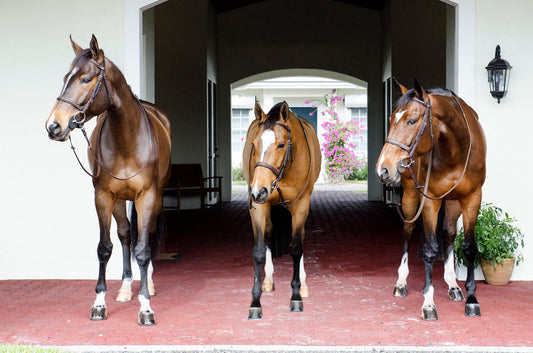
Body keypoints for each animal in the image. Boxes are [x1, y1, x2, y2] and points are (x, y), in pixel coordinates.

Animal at [46, 35, 171, 324]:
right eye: (65, 78)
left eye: (85, 78)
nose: (53, 126)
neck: (127, 139)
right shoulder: (103, 196)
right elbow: (105, 247)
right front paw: (99, 303)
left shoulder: (147, 196)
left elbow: (143, 249)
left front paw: (145, 307)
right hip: (119, 200)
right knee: (125, 234)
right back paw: (125, 288)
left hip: (154, 197)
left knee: (147, 236)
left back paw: (149, 284)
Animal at [242, 101, 320, 320]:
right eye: (254, 145)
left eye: (281, 145)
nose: (259, 190)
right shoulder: (259, 206)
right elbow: (259, 250)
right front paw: (255, 302)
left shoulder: (301, 206)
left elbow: (296, 248)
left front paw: (296, 296)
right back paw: (268, 279)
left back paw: (303, 284)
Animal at [374, 79, 486, 320]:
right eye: (391, 119)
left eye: (411, 120)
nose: (383, 169)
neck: (456, 150)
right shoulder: (430, 199)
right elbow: (430, 249)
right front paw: (428, 303)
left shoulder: (472, 197)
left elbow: (469, 247)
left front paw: (472, 299)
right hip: (410, 196)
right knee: (408, 232)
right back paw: (401, 282)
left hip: (452, 201)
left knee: (449, 234)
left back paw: (453, 285)